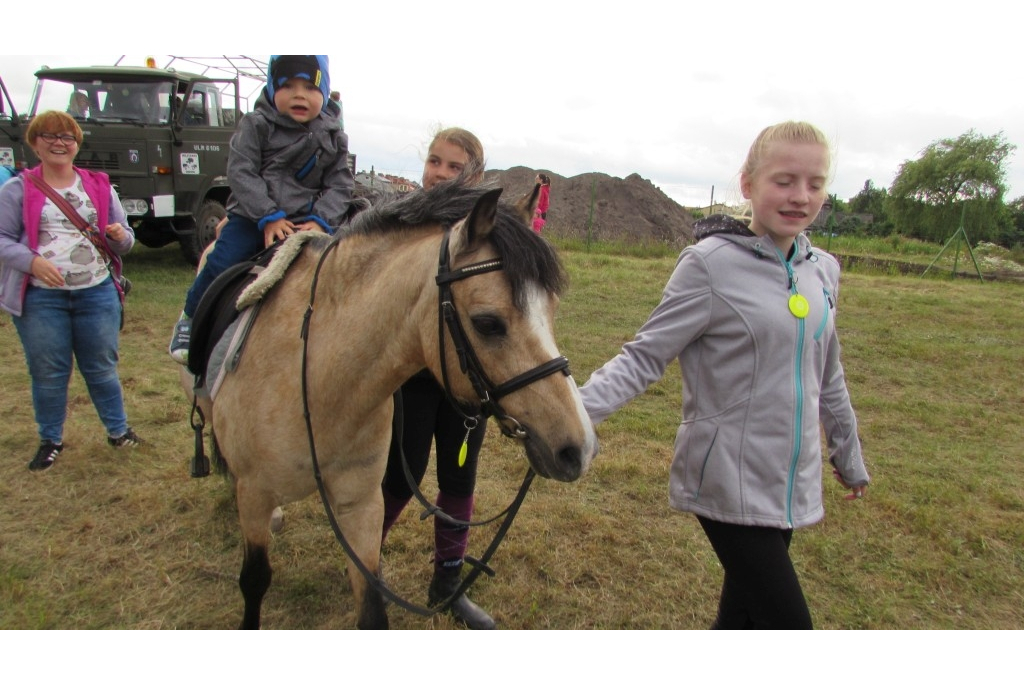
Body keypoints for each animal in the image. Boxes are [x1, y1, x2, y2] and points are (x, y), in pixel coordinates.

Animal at [185, 179, 598, 626]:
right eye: (488, 324)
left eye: (552, 309)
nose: (579, 448)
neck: (315, 377)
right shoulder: (256, 494)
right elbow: (255, 579)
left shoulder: (361, 503)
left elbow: (372, 608)